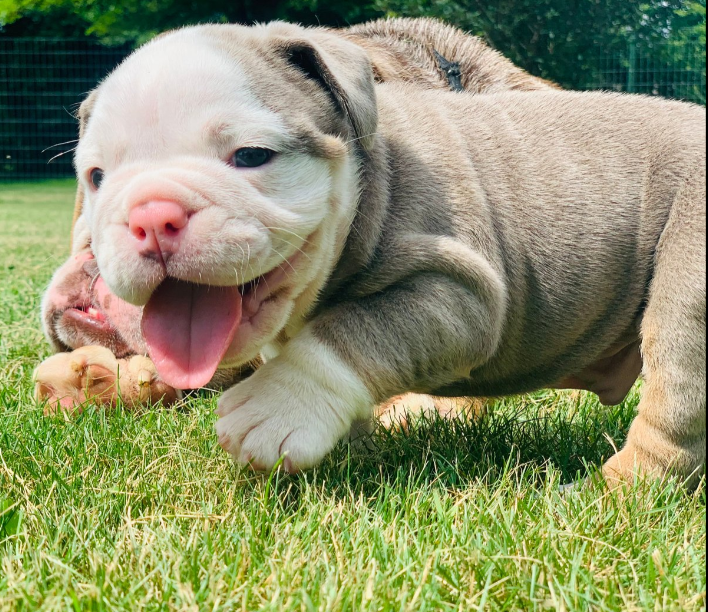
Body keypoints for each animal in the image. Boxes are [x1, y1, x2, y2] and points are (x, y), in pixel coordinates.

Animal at [63, 21, 704, 486]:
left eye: (250, 156)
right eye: (96, 177)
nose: (151, 218)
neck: (369, 180)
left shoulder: (459, 294)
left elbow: (349, 334)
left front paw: (278, 408)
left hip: (687, 283)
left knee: (675, 407)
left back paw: (613, 490)